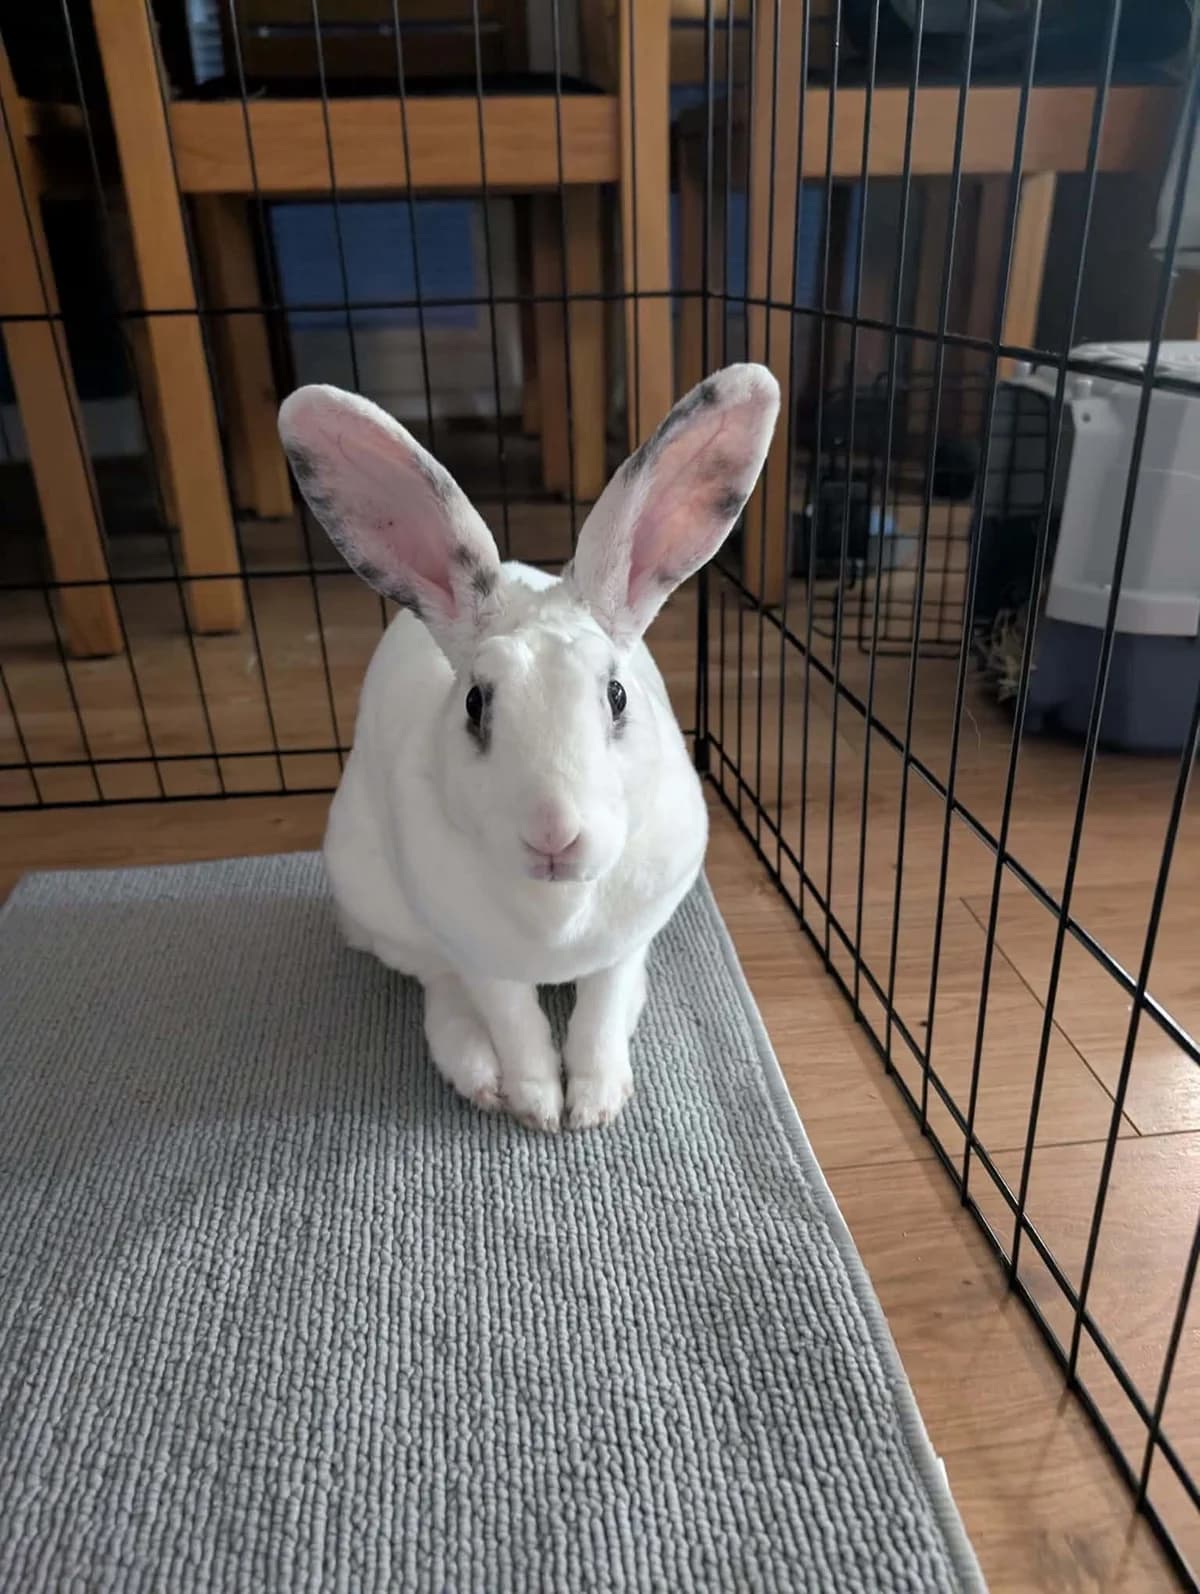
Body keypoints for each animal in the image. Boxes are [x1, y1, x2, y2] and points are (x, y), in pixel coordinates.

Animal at [278, 363, 779, 1132]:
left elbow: (602, 1013)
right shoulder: (481, 956)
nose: (553, 833)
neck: (557, 912)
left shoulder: (626, 945)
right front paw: (540, 1107)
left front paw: (595, 1106)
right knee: (437, 984)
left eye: (617, 696)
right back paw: (478, 1076)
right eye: (475, 704)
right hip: (380, 907)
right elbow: (514, 1023)